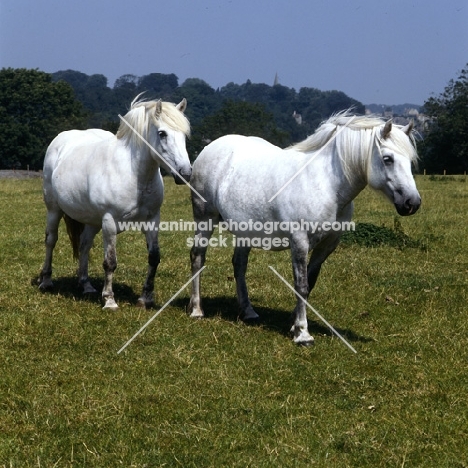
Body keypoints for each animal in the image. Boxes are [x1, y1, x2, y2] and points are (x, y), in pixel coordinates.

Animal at [38, 96, 191, 310]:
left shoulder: (152, 220)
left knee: (84, 245)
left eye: (184, 135)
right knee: (51, 241)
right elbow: (110, 262)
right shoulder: (109, 222)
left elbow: (154, 257)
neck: (134, 174)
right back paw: (46, 281)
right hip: (54, 210)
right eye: (162, 133)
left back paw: (86, 285)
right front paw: (109, 300)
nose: (185, 173)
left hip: (93, 221)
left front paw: (145, 299)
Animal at [188, 112, 422, 346]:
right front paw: (302, 333)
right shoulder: (299, 242)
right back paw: (197, 309)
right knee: (198, 256)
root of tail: (209, 149)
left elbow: (310, 281)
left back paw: (248, 312)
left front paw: (294, 323)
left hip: (244, 231)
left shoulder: (327, 245)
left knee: (239, 264)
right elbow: (301, 285)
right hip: (205, 219)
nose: (412, 203)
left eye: (410, 161)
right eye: (388, 159)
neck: (325, 183)